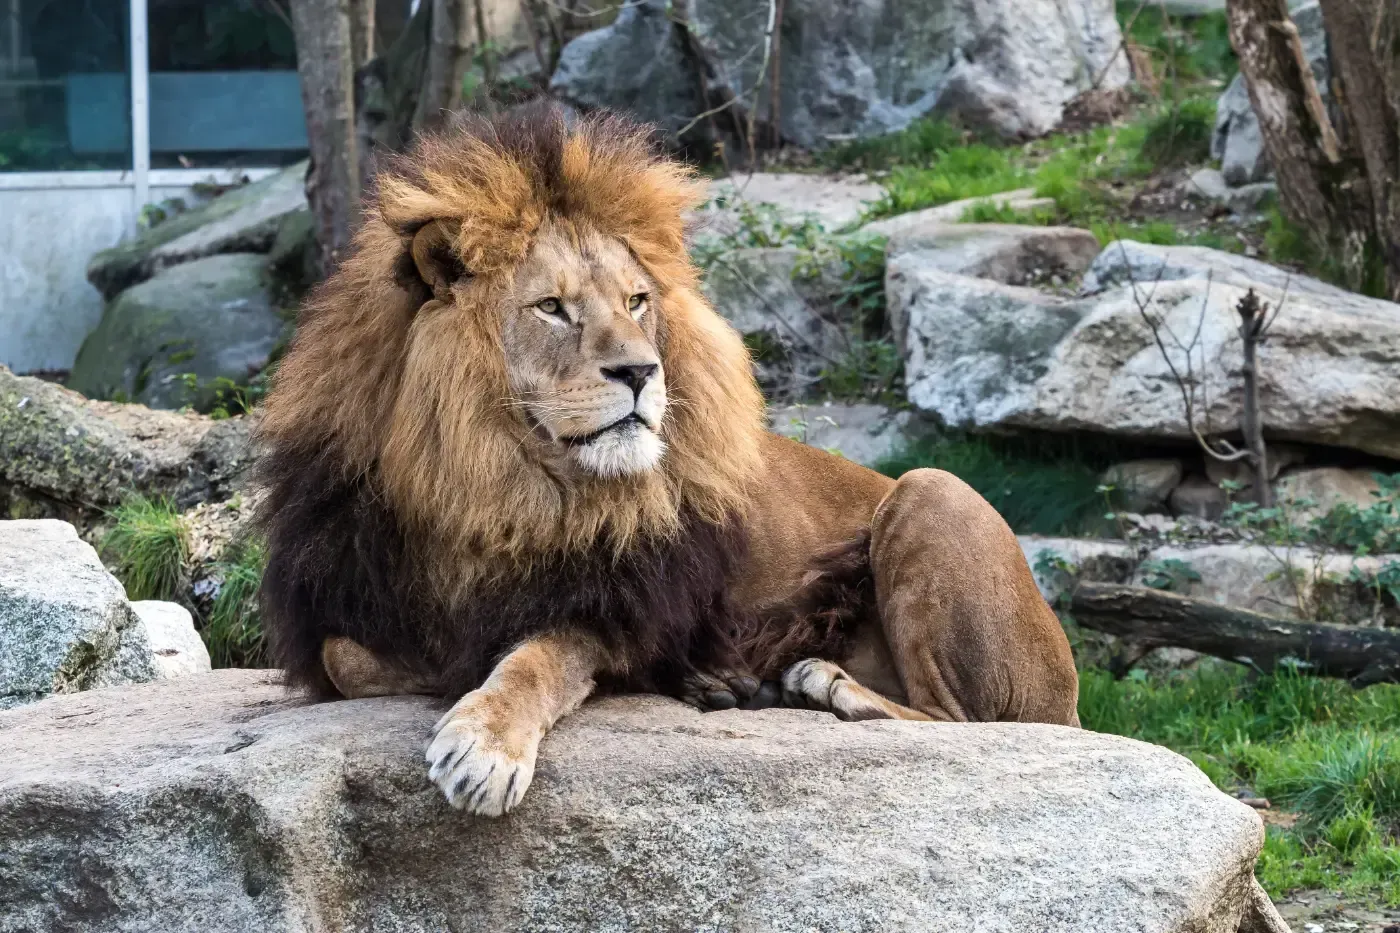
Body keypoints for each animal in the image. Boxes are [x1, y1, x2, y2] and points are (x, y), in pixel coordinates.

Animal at [255, 102, 1079, 818]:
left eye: (636, 301)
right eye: (552, 308)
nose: (640, 371)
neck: (489, 482)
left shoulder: (614, 609)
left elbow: (535, 657)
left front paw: (484, 741)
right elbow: (347, 657)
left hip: (931, 490)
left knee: (969, 724)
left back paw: (822, 684)